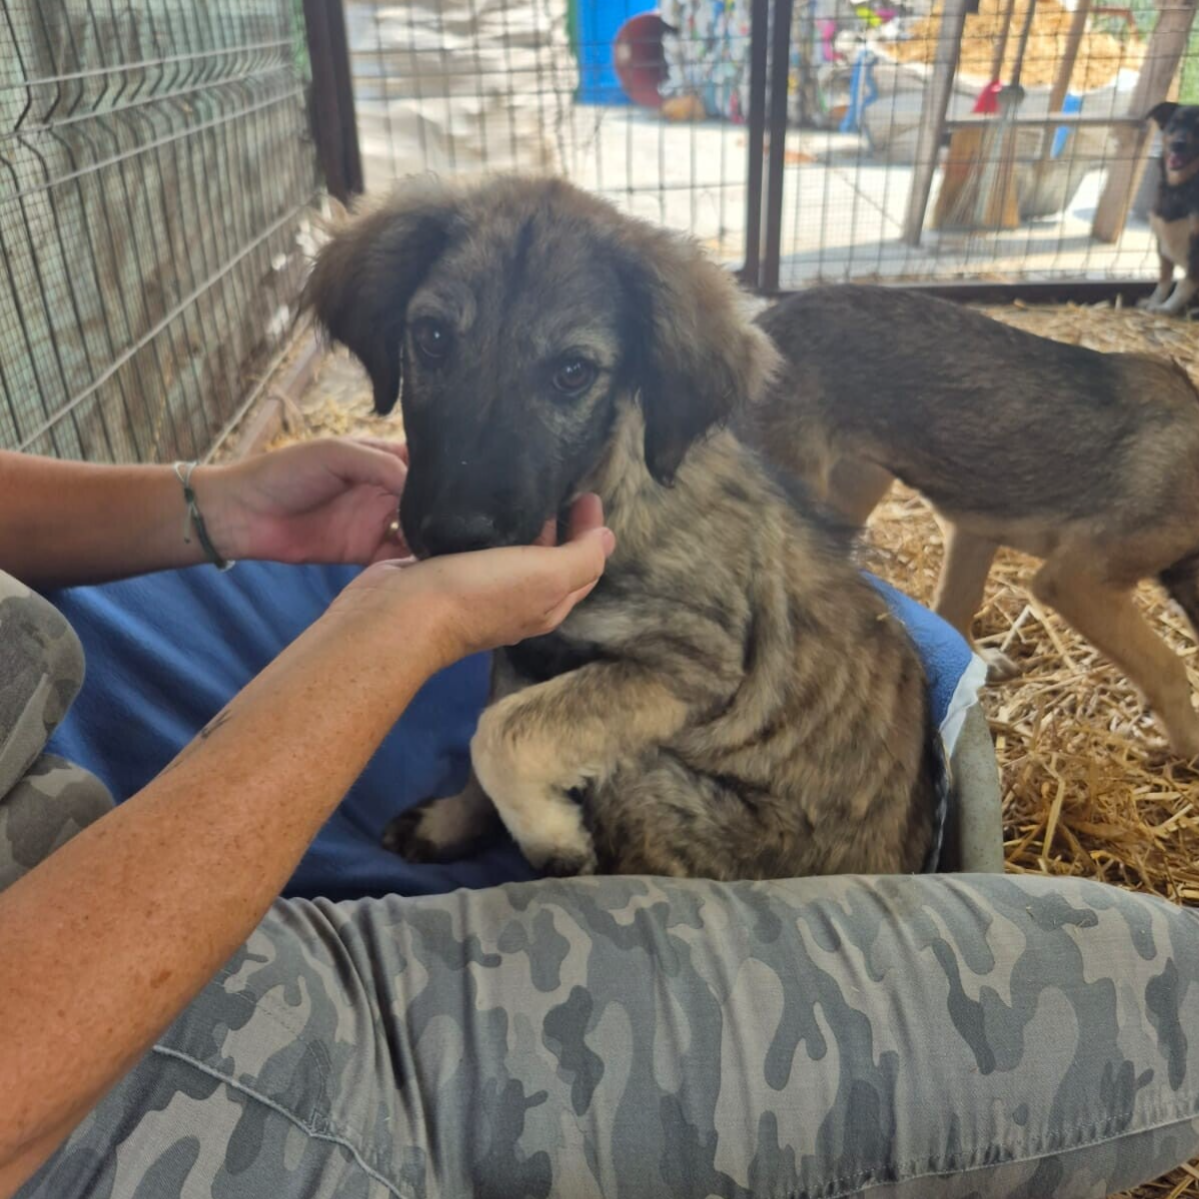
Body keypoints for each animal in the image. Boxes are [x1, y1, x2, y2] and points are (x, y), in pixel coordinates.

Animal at [303, 176, 939, 879]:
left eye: (573, 372)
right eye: (434, 337)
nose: (455, 537)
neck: (603, 490)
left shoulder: (688, 667)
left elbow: (501, 735)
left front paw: (553, 838)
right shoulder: (526, 648)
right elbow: (489, 728)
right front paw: (453, 821)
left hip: (642, 781)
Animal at [752, 283, 1199, 762]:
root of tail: (758, 323)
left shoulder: (975, 530)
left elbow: (956, 606)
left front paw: (974, 660)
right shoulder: (1077, 580)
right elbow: (1168, 666)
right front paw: (1192, 741)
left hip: (859, 485)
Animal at [1140, 102, 1199, 316]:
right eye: (1175, 122)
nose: (1178, 144)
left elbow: (1184, 284)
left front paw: (1167, 308)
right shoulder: (1161, 243)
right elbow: (1164, 278)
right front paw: (1154, 301)